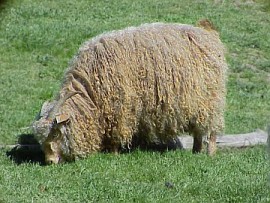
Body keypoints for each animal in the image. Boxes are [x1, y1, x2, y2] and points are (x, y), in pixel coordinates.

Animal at [32, 19, 228, 164]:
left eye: (56, 133)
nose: (50, 161)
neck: (90, 93)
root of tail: (207, 34)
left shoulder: (120, 107)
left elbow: (116, 132)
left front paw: (113, 153)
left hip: (211, 99)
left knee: (211, 129)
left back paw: (209, 153)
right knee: (199, 130)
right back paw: (196, 151)